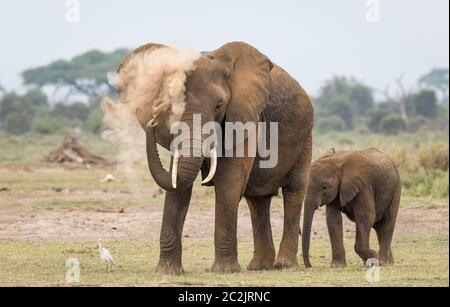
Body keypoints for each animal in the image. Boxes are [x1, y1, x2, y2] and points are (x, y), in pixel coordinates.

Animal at [111, 41, 312, 274]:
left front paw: (225, 270)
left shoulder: (245, 117)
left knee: (294, 191)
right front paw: (166, 271)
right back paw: (259, 267)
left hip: (305, 138)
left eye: (218, 106)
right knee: (257, 200)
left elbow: (229, 181)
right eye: (170, 107)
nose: (152, 121)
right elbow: (177, 186)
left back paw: (283, 265)